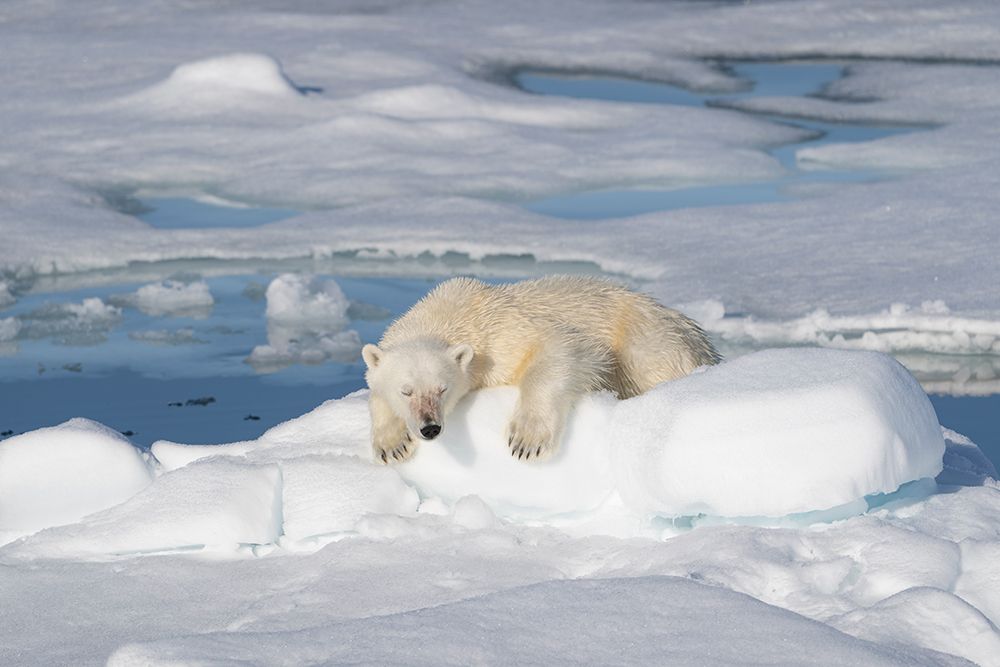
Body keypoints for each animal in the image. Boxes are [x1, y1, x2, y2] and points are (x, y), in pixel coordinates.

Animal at [361, 275, 720, 464]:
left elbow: (562, 348)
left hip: (649, 337)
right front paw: (392, 444)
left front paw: (527, 439)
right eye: (406, 391)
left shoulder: (503, 333)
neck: (452, 312)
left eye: (442, 388)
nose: (430, 428)